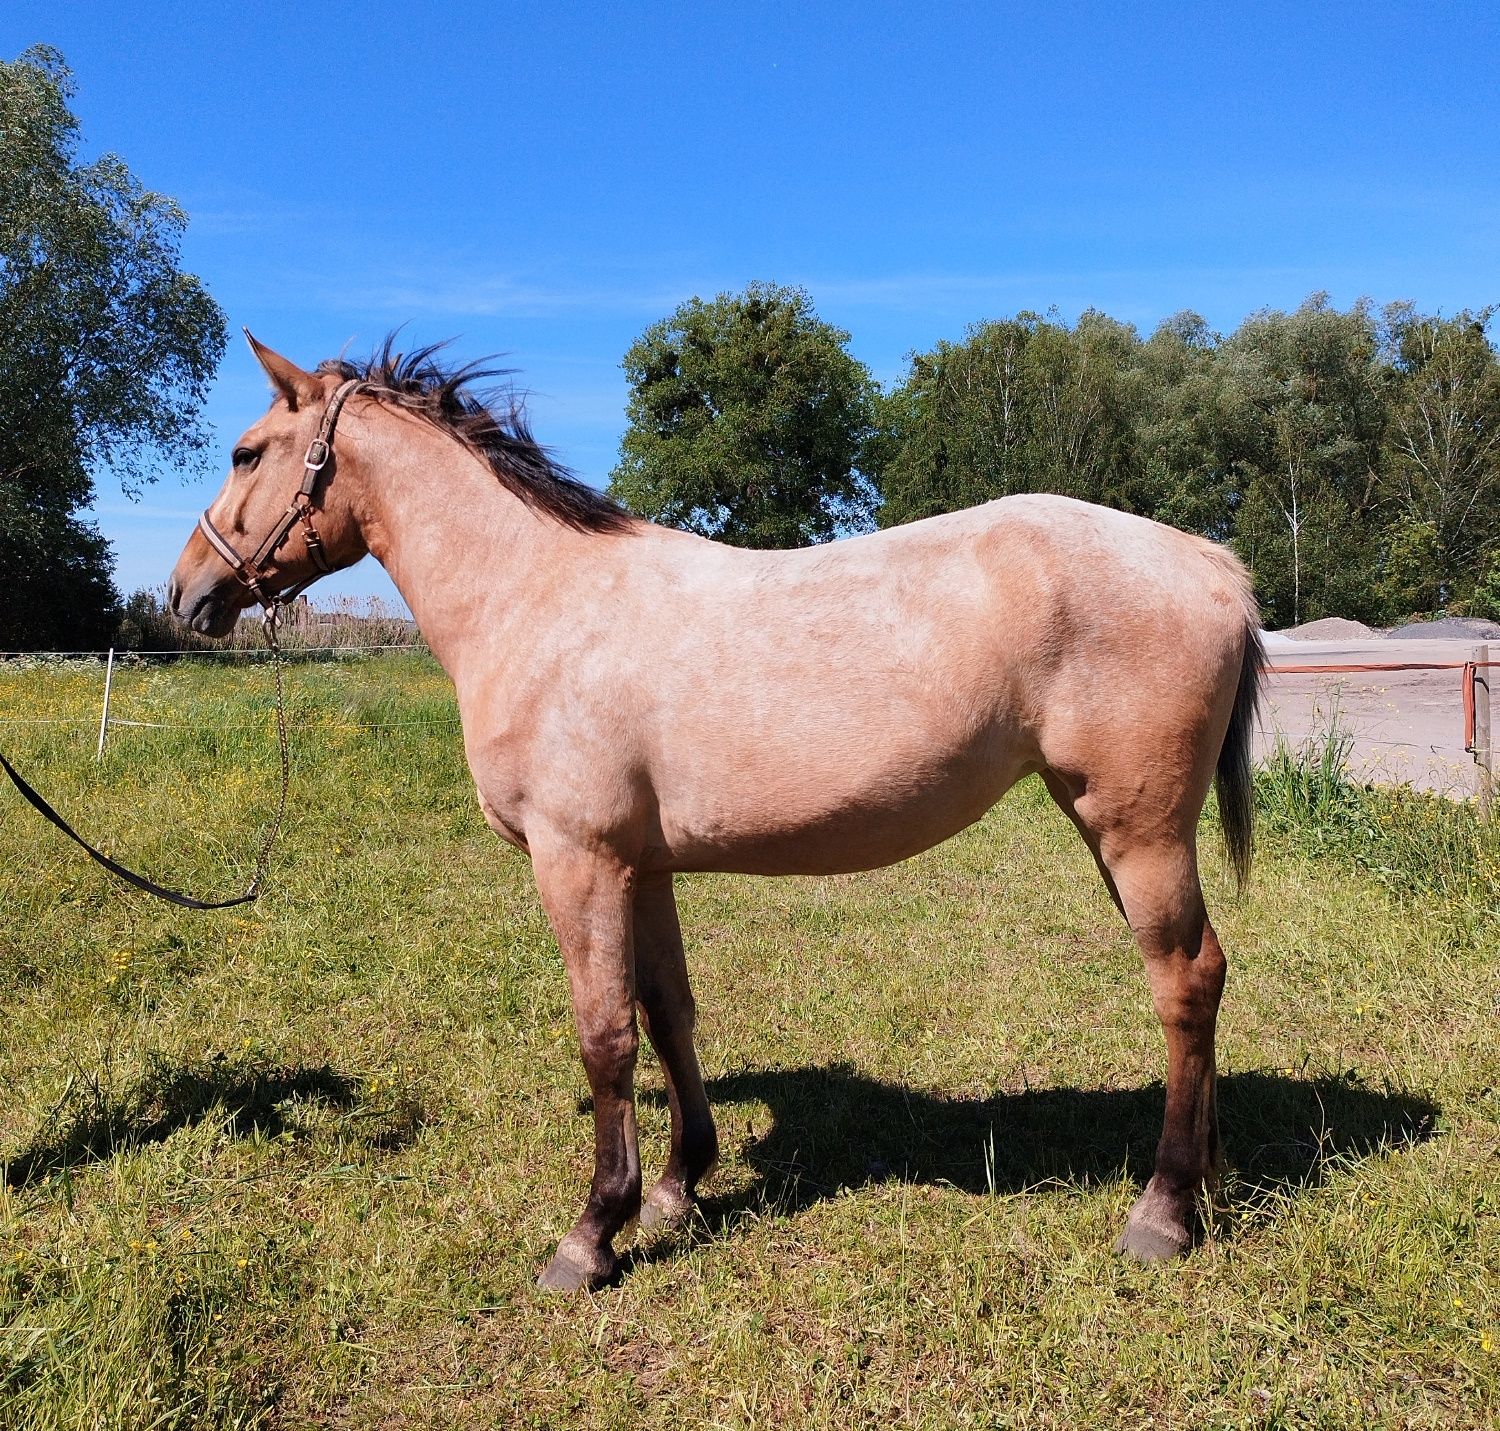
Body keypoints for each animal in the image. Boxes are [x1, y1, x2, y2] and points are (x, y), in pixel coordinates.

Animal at [167, 337, 1266, 1296]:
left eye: (246, 452)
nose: (185, 592)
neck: (538, 597)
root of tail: (1209, 561)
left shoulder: (577, 861)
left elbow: (604, 1035)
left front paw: (592, 1233)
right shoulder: (641, 866)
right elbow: (667, 1013)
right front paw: (675, 1184)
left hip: (1136, 829)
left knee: (1184, 981)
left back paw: (1163, 1210)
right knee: (1198, 976)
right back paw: (1207, 1180)